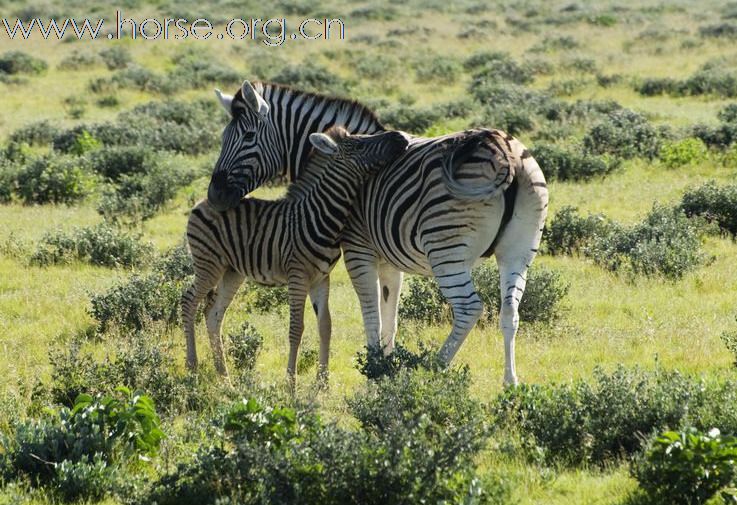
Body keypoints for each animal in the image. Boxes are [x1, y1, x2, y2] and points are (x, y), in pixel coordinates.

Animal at [180, 124, 406, 384]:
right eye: (359, 145)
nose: (400, 136)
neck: (320, 215)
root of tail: (201, 202)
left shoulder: (321, 278)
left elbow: (325, 326)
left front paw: (323, 382)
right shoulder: (297, 277)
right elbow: (296, 328)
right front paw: (291, 382)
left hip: (232, 271)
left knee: (214, 313)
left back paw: (225, 377)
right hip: (209, 264)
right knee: (188, 301)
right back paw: (192, 367)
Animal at [207, 80, 548, 384]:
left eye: (248, 136)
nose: (214, 197)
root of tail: (505, 149)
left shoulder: (358, 251)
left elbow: (371, 314)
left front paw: (373, 369)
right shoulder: (389, 261)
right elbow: (389, 318)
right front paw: (386, 363)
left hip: (446, 251)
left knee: (468, 309)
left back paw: (432, 370)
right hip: (518, 253)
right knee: (510, 312)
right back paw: (510, 383)